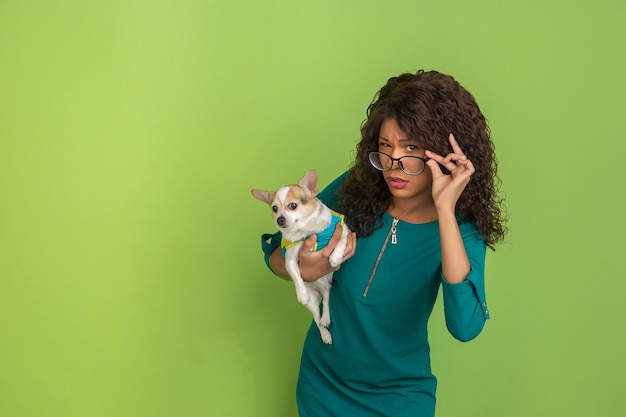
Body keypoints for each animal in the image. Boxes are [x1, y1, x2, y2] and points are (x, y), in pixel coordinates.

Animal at [251, 169, 348, 344]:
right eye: (274, 208)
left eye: (293, 206)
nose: (280, 219)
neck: (307, 231)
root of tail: (319, 289)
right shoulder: (290, 260)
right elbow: (296, 277)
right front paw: (301, 294)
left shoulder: (345, 230)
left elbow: (341, 241)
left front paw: (335, 257)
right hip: (313, 302)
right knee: (317, 318)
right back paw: (324, 333)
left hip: (327, 288)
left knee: (327, 301)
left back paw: (326, 318)